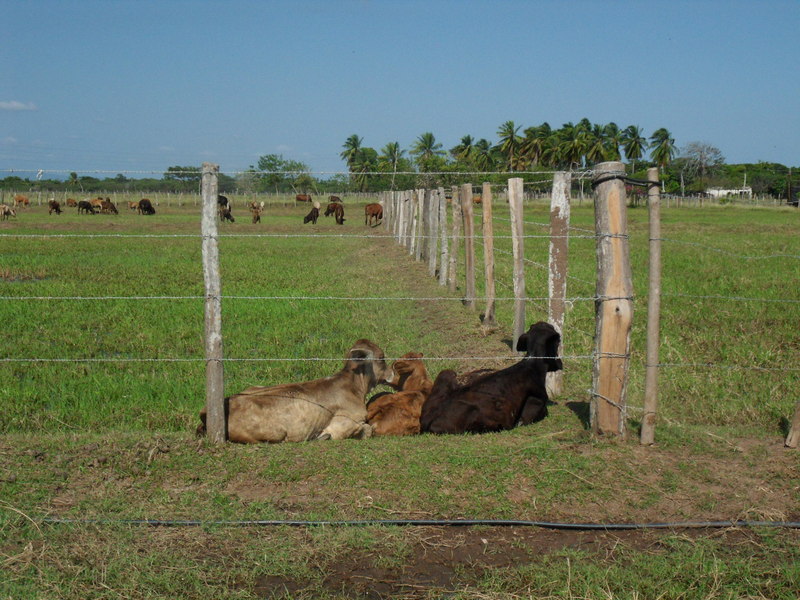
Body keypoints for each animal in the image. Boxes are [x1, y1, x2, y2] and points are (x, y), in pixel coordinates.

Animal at [200, 340, 394, 442]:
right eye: (381, 358)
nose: (392, 372)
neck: (354, 387)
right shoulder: (342, 424)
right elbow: (367, 429)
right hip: (275, 433)